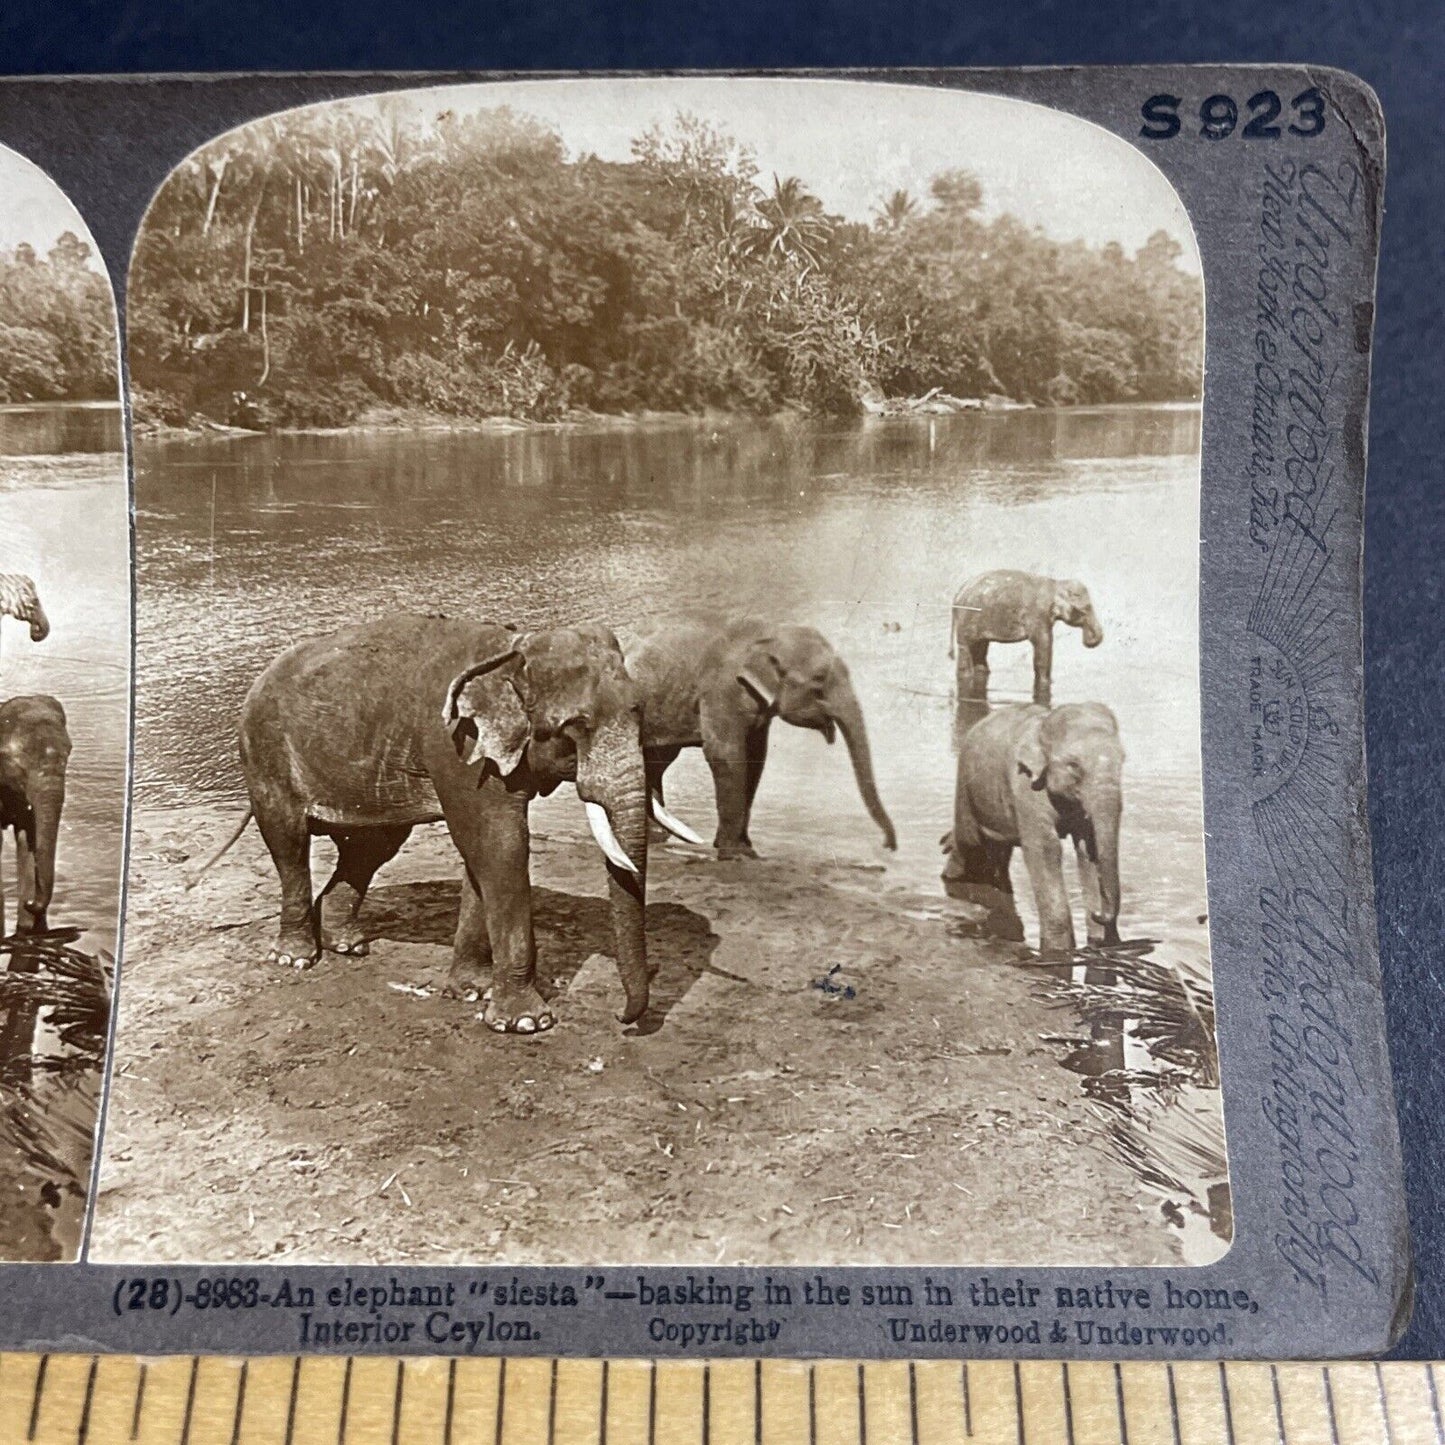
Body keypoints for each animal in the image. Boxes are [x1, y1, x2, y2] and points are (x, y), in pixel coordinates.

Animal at [190, 615, 693, 1034]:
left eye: (640, 712)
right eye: (575, 728)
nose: (621, 1018)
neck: (514, 648)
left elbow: (481, 857)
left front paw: (472, 991)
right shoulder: (455, 747)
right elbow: (500, 846)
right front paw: (525, 1023)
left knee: (372, 848)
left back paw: (346, 944)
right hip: (265, 753)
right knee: (289, 842)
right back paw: (295, 958)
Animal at [621, 615, 890, 861]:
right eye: (819, 679)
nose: (887, 845)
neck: (768, 634)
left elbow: (755, 757)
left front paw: (743, 848)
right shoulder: (721, 692)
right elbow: (726, 755)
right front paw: (737, 855)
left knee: (657, 761)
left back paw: (657, 835)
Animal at [942, 702, 1121, 953]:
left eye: (1123, 760)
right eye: (1074, 765)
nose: (1099, 912)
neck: (1045, 725)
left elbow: (1088, 849)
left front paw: (1100, 943)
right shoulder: (1026, 785)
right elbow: (1046, 849)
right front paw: (1059, 951)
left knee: (998, 849)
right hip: (966, 786)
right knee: (969, 842)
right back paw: (951, 876)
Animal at [953, 569, 1098, 705]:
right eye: (1086, 609)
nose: (1089, 639)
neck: (1056, 584)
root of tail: (959, 592)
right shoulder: (1039, 614)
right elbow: (1044, 643)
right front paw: (1046, 683)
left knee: (980, 649)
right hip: (967, 620)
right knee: (965, 650)